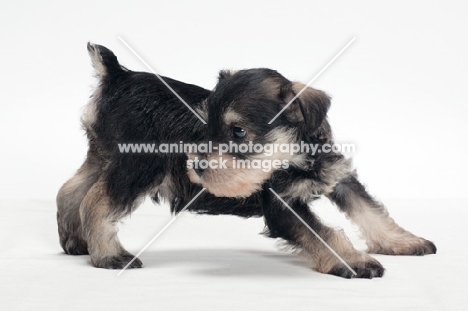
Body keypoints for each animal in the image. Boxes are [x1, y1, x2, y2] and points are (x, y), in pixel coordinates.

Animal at [57, 42, 436, 280]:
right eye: (206, 127)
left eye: (238, 131)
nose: (197, 166)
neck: (294, 156)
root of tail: (117, 75)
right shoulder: (282, 206)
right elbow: (327, 234)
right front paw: (355, 260)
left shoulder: (339, 177)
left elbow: (371, 212)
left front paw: (402, 242)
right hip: (138, 166)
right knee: (96, 201)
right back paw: (110, 255)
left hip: (103, 156)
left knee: (71, 191)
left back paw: (76, 242)